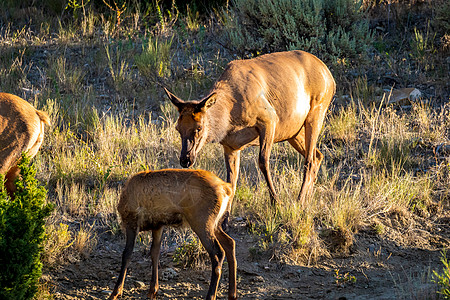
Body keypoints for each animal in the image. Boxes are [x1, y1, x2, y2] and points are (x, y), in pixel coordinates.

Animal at [109, 169, 237, 300]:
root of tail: (226, 188)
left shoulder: (132, 221)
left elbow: (127, 254)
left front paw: (116, 292)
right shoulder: (157, 225)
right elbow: (155, 253)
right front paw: (153, 290)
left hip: (202, 221)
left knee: (218, 252)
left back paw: (211, 295)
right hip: (215, 224)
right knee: (230, 243)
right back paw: (232, 294)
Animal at [164, 51, 334, 206]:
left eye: (199, 128)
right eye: (178, 128)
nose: (185, 159)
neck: (229, 119)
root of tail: (329, 76)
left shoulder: (269, 119)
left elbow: (263, 161)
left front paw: (276, 202)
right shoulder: (231, 146)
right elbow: (231, 184)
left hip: (316, 112)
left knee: (309, 159)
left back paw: (300, 200)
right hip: (293, 132)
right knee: (318, 156)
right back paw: (307, 198)